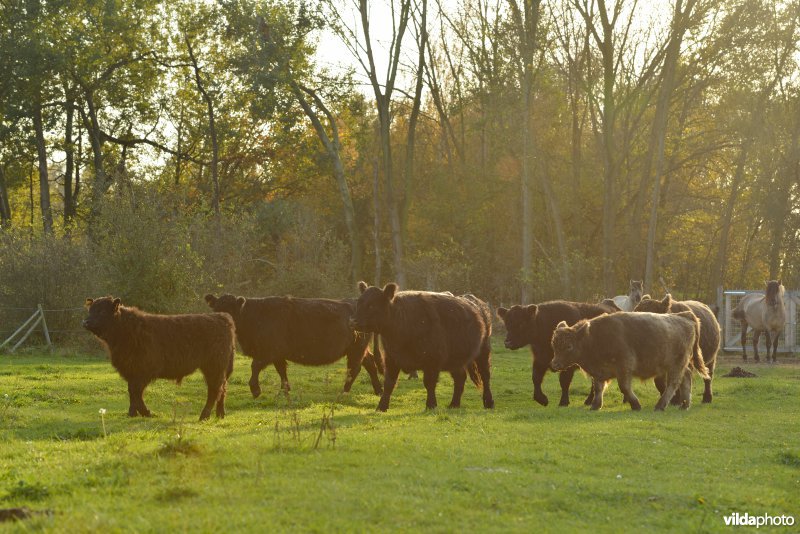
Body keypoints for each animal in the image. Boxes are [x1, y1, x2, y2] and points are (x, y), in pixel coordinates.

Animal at [83, 298, 236, 422]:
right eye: (90, 310)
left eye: (102, 311)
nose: (85, 322)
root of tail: (221, 316)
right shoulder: (130, 371)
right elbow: (132, 393)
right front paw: (132, 413)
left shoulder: (143, 371)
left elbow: (136, 392)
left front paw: (146, 413)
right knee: (223, 388)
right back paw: (220, 414)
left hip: (214, 366)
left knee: (214, 390)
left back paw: (204, 416)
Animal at [205, 296, 382, 400]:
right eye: (216, 308)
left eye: (231, 310)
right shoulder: (278, 354)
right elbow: (281, 371)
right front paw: (285, 390)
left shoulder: (268, 351)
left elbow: (255, 366)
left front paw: (255, 390)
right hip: (359, 349)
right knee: (370, 364)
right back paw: (378, 390)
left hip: (356, 349)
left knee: (355, 368)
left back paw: (344, 392)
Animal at [350, 284, 494, 414]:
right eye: (359, 303)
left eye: (372, 305)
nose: (353, 321)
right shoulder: (391, 359)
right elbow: (389, 384)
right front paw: (381, 407)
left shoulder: (432, 361)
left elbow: (429, 383)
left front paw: (431, 405)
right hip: (456, 359)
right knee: (460, 378)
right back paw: (454, 404)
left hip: (483, 351)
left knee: (485, 376)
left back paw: (489, 403)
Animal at [552, 312, 708, 412]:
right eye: (554, 344)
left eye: (569, 346)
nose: (554, 365)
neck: (594, 338)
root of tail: (685, 316)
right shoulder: (599, 372)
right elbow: (598, 388)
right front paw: (595, 406)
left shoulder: (624, 368)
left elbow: (624, 387)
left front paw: (636, 405)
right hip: (680, 365)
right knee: (686, 378)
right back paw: (684, 405)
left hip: (676, 365)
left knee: (673, 383)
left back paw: (660, 405)